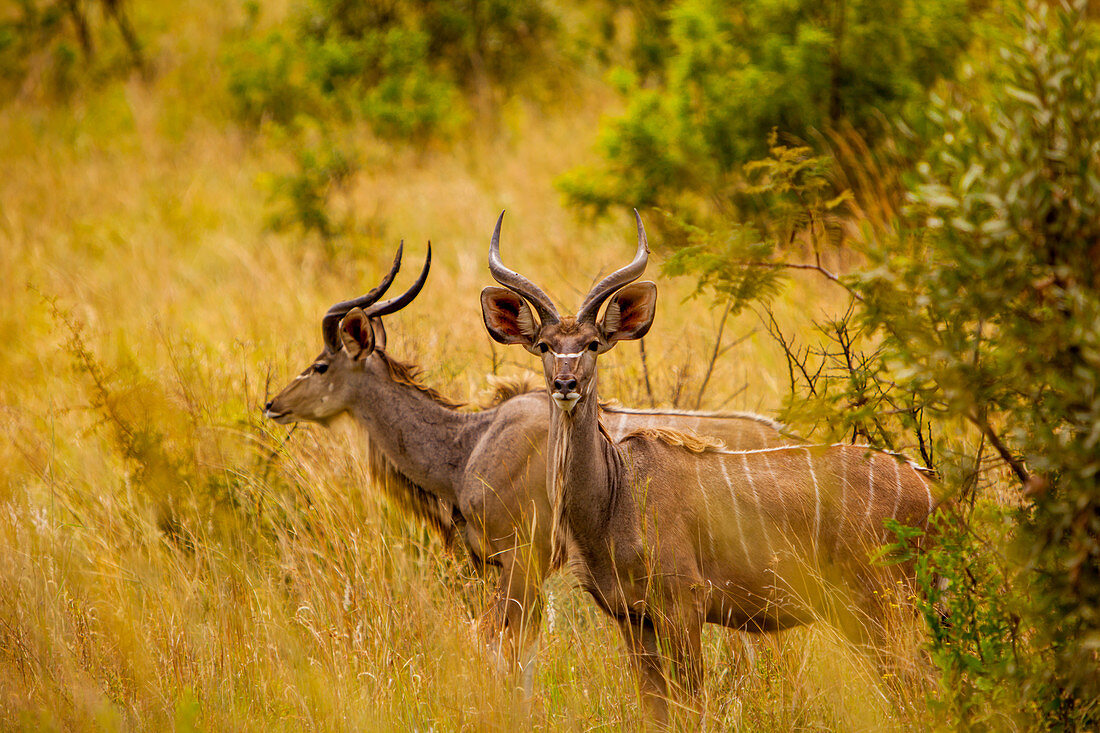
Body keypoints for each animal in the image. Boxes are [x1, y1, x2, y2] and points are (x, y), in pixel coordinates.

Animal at [261, 242, 796, 686]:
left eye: (320, 366)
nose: (272, 404)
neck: (470, 444)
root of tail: (783, 435)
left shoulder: (523, 559)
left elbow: (504, 648)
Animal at [481, 210, 937, 713]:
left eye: (593, 344)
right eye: (544, 345)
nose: (565, 384)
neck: (615, 494)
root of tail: (930, 489)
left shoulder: (685, 605)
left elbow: (691, 702)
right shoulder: (632, 617)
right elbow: (655, 707)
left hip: (883, 603)